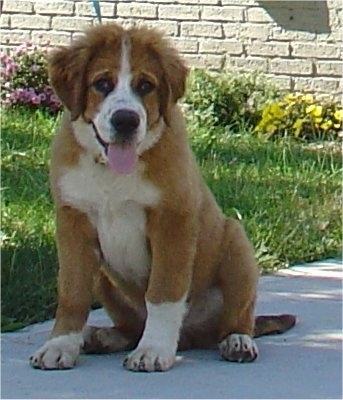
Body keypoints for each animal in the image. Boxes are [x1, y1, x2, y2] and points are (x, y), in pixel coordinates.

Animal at [29, 22, 296, 372]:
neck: (112, 172)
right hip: (104, 277)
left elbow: (163, 292)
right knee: (130, 327)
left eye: (146, 85)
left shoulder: (173, 222)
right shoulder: (74, 223)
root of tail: (193, 336)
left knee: (236, 317)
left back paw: (237, 341)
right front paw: (60, 345)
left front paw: (153, 349)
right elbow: (72, 294)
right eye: (102, 83)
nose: (126, 120)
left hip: (237, 243)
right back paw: (102, 336)